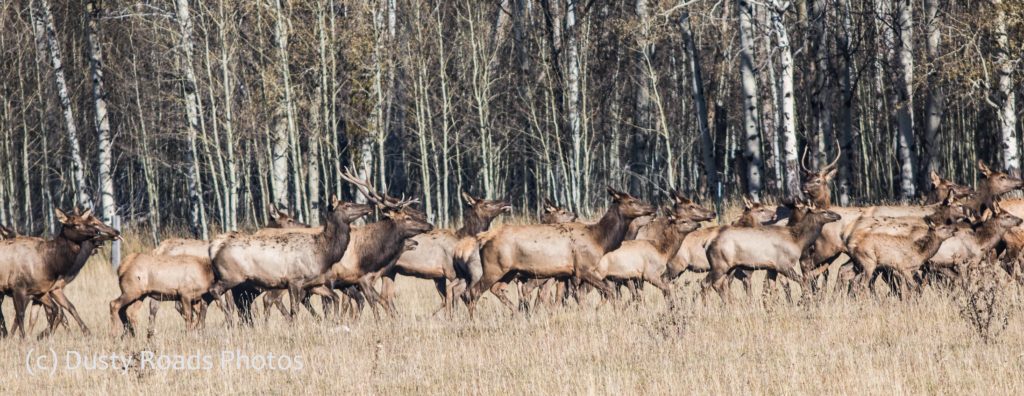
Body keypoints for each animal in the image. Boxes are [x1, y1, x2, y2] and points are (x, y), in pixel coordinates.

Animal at [0, 207, 119, 337]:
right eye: (93, 223)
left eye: (87, 222)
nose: (116, 231)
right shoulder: (22, 289)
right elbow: (21, 315)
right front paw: (26, 337)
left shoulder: (42, 291)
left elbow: (60, 309)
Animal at [207, 194, 372, 325]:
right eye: (348, 205)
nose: (368, 206)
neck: (322, 254)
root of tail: (213, 248)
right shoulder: (294, 279)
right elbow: (295, 310)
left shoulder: (312, 283)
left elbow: (334, 297)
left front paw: (335, 320)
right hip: (232, 276)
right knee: (216, 292)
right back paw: (230, 320)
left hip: (240, 284)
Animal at [468, 187, 651, 317]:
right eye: (632, 201)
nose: (652, 206)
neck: (600, 240)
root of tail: (483, 238)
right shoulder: (583, 268)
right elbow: (607, 291)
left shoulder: (565, 274)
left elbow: (564, 298)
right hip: (494, 267)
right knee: (474, 291)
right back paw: (474, 320)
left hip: (510, 271)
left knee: (497, 289)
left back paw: (518, 314)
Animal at [704, 206, 839, 302]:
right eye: (824, 211)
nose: (838, 215)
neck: (798, 241)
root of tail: (707, 244)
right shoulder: (783, 265)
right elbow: (802, 281)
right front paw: (804, 300)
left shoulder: (772, 268)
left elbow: (773, 289)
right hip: (719, 265)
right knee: (706, 284)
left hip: (729, 267)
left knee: (720, 284)